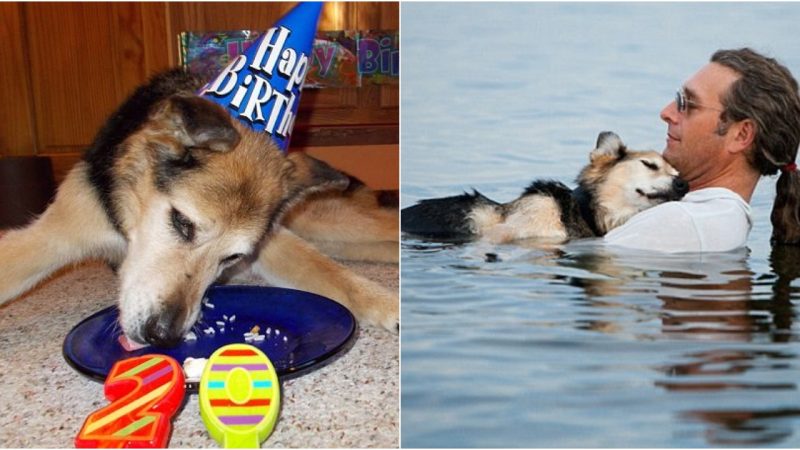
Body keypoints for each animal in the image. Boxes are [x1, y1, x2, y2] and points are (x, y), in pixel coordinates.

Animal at [0, 68, 398, 346]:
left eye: (232, 257)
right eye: (182, 223)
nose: (162, 335)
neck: (130, 225)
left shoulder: (271, 241)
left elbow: (335, 275)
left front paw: (390, 305)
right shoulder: (59, 231)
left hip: (329, 223)